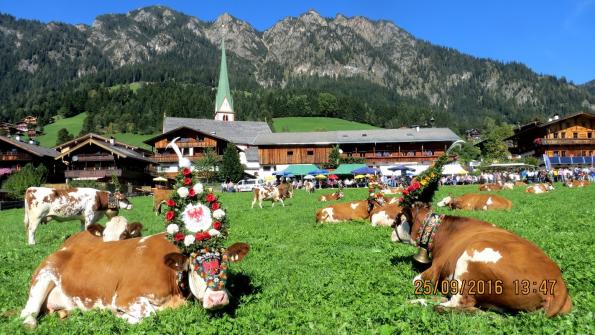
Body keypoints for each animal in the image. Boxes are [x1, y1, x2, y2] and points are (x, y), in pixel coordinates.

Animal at [20, 232, 249, 330]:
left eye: (225, 264)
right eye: (193, 268)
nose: (217, 298)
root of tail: (65, 247)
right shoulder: (125, 297)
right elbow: (150, 316)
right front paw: (118, 317)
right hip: (43, 276)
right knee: (27, 312)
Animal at [392, 202, 572, 318]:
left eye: (399, 219)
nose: (391, 230)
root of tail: (559, 284)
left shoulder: (435, 268)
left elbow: (416, 281)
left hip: (471, 256)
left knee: (456, 304)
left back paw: (417, 302)